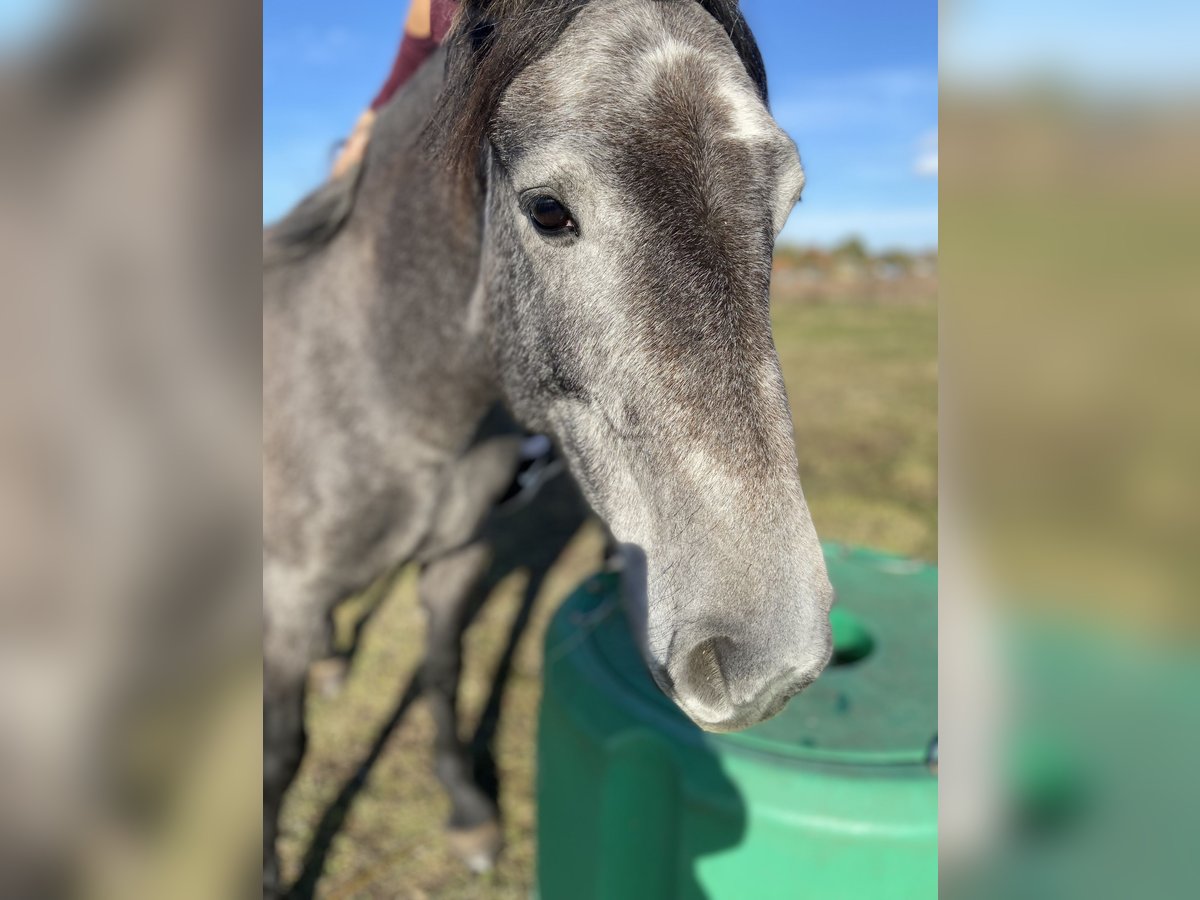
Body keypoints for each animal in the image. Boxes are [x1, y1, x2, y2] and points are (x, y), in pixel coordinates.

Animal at [267, 0, 835, 892]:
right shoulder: (285, 598)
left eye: (787, 200)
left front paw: (468, 811)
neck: (380, 377)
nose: (770, 658)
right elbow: (281, 752)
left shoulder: (458, 556)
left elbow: (442, 669)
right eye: (546, 211)